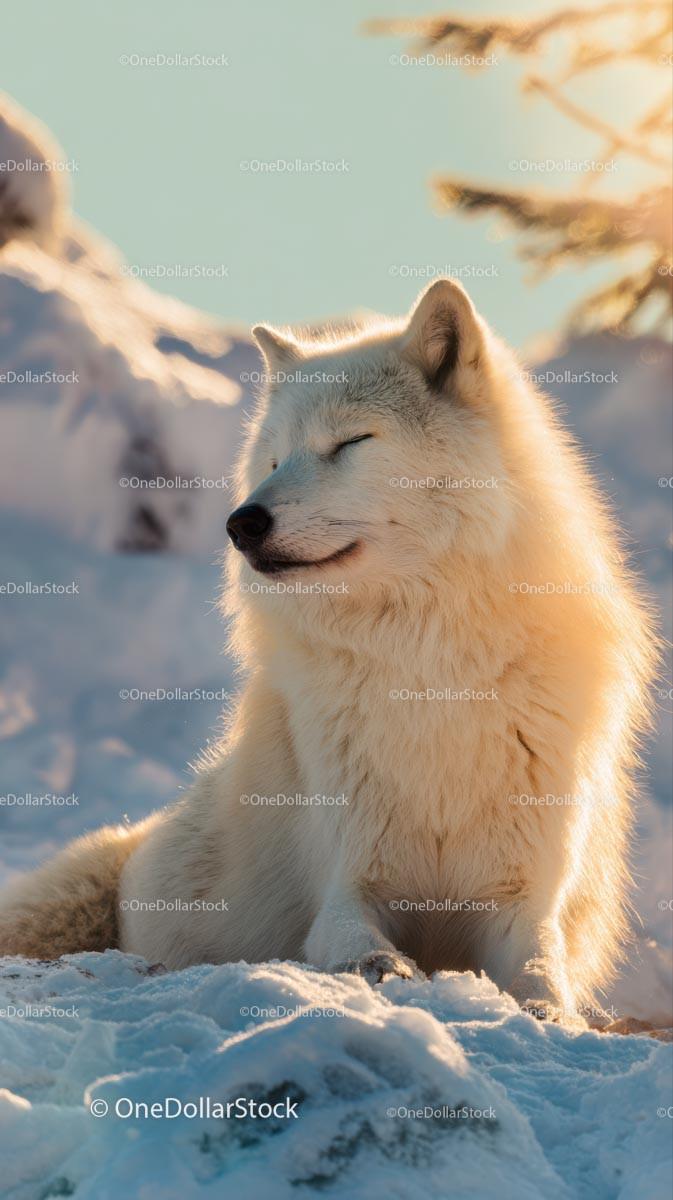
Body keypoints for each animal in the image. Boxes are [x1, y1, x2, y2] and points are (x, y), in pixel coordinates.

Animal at [0, 278, 655, 1018]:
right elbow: (360, 947)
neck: (428, 670)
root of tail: (135, 843)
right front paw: (388, 974)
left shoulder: (521, 901)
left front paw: (548, 1014)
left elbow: (545, 979)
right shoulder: (348, 887)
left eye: (349, 442)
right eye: (275, 459)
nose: (241, 523)